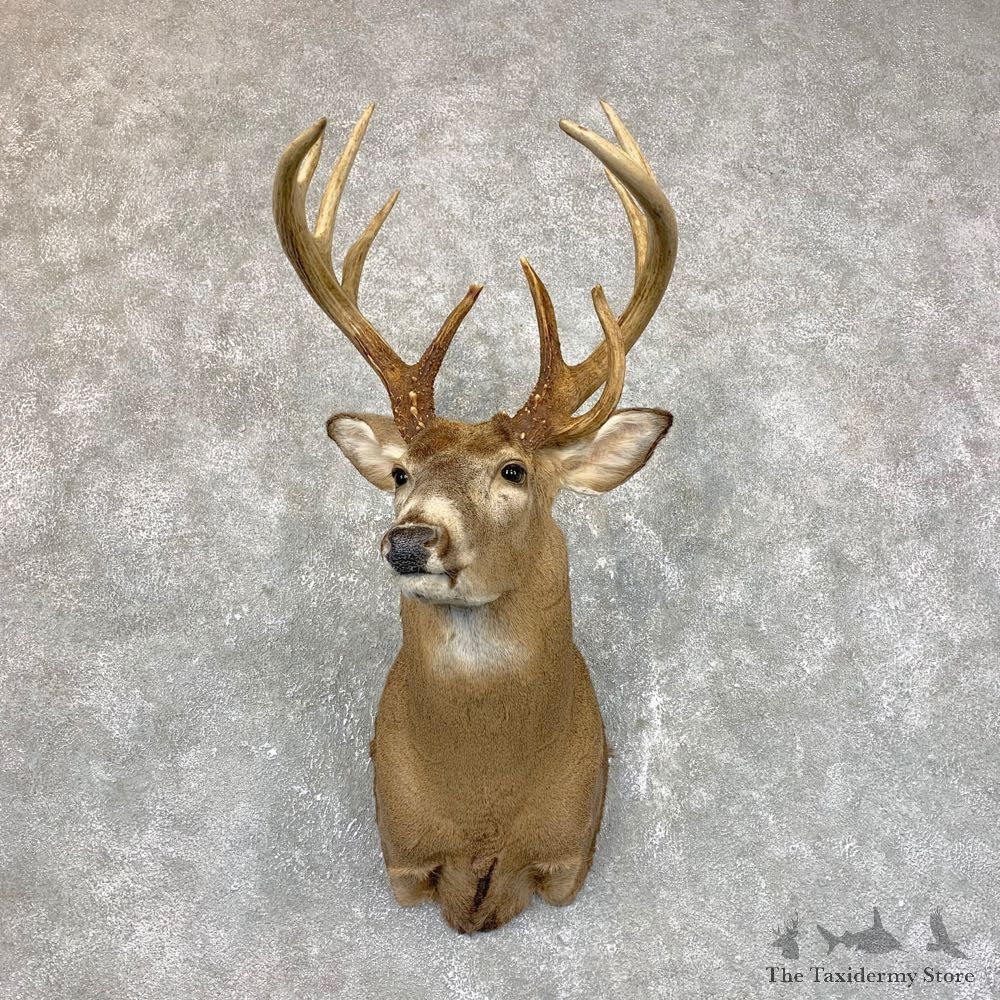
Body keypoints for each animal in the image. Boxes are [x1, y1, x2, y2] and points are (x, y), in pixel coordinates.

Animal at [272, 100, 678, 933]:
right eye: (400, 473)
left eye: (514, 470)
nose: (410, 539)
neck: (484, 803)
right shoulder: (401, 852)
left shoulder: (569, 851)